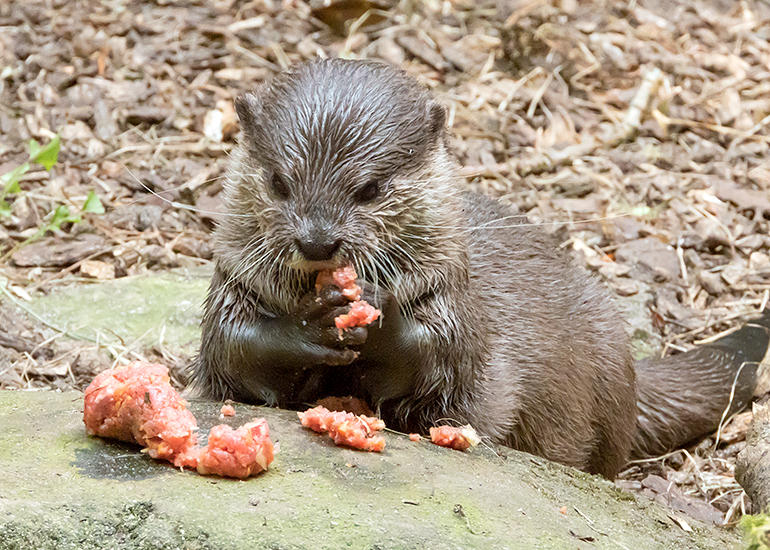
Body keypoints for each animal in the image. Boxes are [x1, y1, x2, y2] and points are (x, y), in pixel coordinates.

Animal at [190, 58, 770, 478]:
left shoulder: (456, 312)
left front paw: (380, 318)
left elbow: (442, 357)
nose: (317, 241)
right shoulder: (231, 287)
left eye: (371, 188)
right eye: (278, 182)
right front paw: (308, 327)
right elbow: (235, 350)